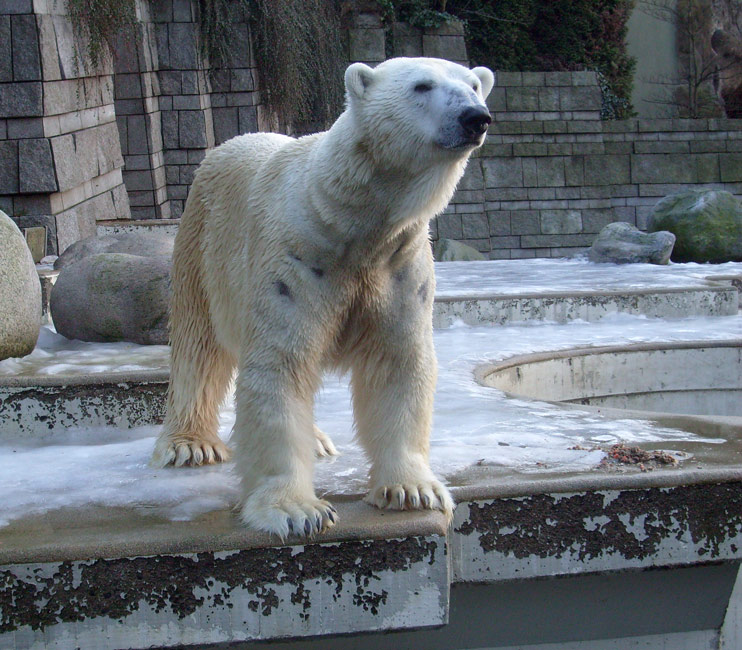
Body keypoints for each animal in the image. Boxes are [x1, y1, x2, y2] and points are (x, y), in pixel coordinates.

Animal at [153, 58, 494, 536]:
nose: (474, 117)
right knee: (197, 345)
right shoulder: (296, 261)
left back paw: (316, 440)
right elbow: (281, 367)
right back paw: (190, 444)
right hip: (202, 243)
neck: (349, 221)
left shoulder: (399, 266)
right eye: (421, 86)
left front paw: (411, 489)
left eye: (474, 86)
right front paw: (298, 510)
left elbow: (399, 365)